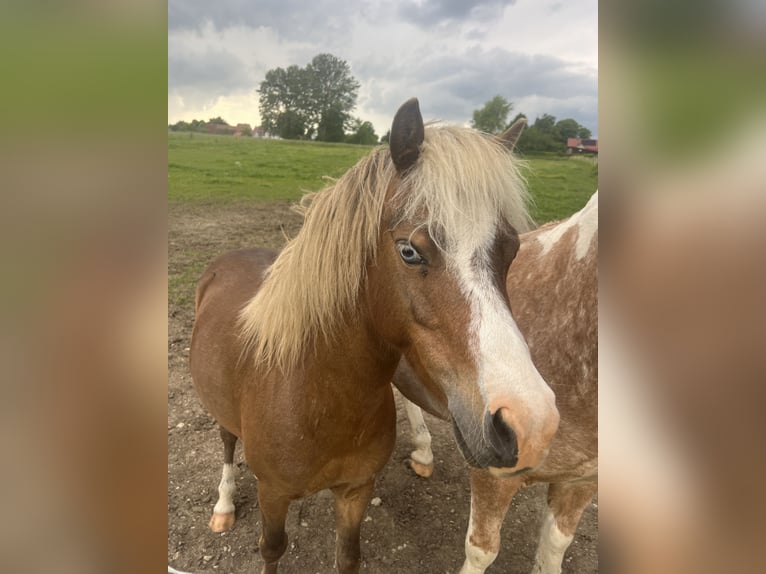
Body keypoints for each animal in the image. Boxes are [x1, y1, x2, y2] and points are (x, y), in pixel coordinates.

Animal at [189, 99, 560, 573]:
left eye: (511, 251)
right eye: (409, 250)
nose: (530, 425)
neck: (316, 396)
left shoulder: (356, 491)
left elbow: (348, 556)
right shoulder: (272, 495)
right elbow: (271, 549)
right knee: (225, 443)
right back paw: (223, 506)